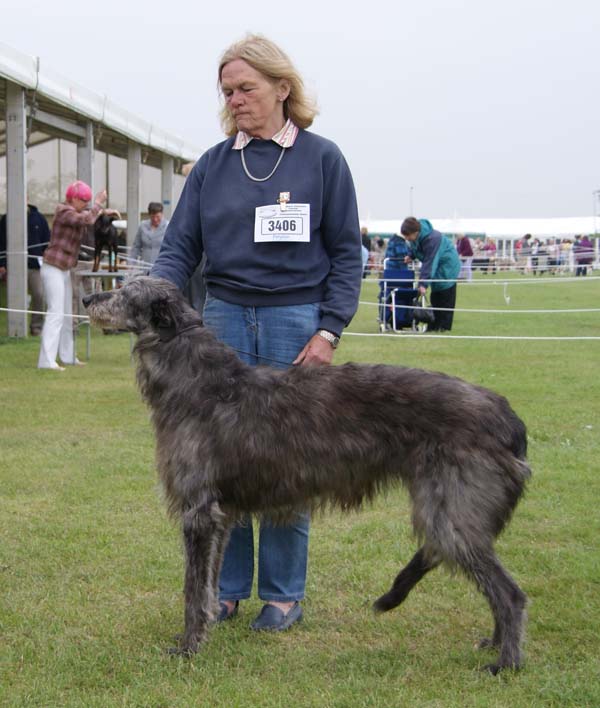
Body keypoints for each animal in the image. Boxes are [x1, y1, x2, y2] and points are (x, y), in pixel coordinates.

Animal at [83, 276, 528, 676]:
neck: (197, 381)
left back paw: (505, 662)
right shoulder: (220, 515)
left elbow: (192, 588)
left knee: (511, 594)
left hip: (450, 514)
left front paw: (188, 647)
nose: (88, 298)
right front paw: (206, 628)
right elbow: (208, 585)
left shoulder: (199, 511)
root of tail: (508, 417)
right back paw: (494, 642)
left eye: (125, 291)